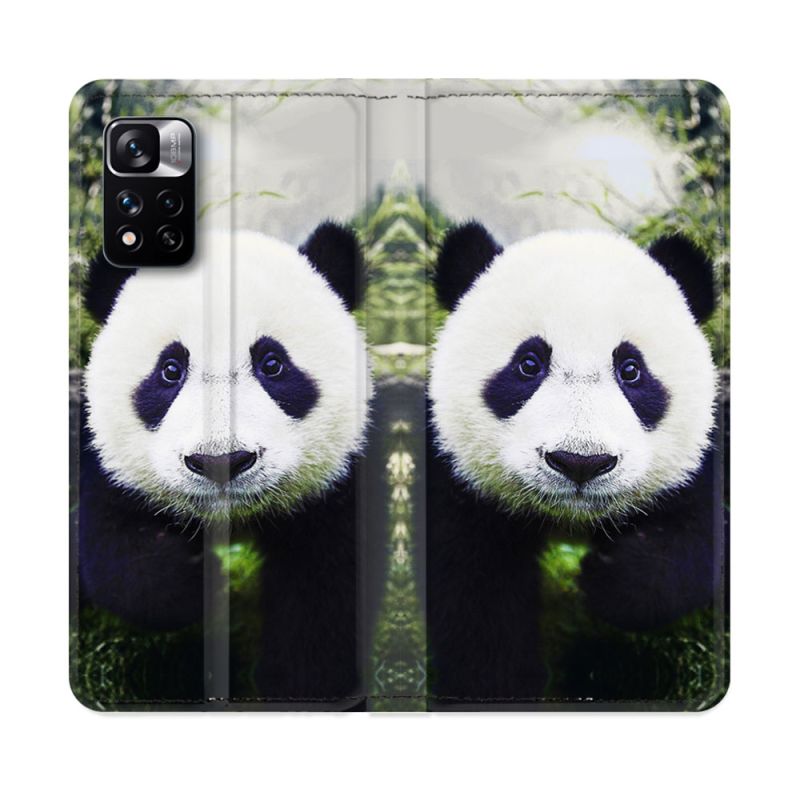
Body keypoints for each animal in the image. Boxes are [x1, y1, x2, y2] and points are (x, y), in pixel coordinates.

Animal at [79, 222, 371, 705]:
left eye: (272, 363)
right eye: (170, 370)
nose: (221, 462)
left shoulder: (336, 491)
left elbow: (325, 602)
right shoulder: (110, 469)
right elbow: (116, 554)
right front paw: (195, 579)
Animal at [426, 222, 724, 705]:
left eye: (631, 369)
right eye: (528, 364)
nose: (580, 462)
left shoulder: (698, 461)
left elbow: (695, 542)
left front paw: (609, 579)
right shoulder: (461, 484)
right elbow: (477, 601)